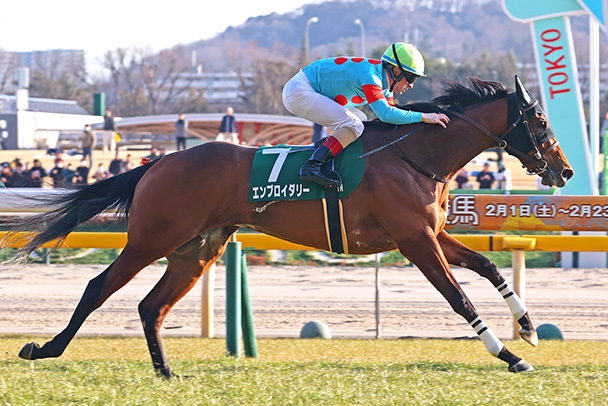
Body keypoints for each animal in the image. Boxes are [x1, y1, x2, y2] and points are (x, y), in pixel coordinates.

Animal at [4, 76, 573, 378]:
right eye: (541, 121)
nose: (565, 171)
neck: (415, 155)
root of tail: (160, 162)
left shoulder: (431, 234)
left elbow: (486, 265)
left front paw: (527, 327)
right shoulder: (413, 240)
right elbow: (459, 297)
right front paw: (507, 354)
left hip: (196, 250)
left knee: (152, 306)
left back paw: (165, 371)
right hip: (151, 239)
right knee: (98, 287)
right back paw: (44, 348)